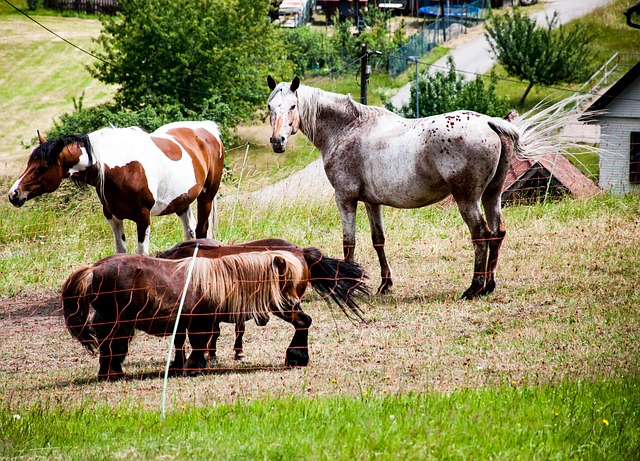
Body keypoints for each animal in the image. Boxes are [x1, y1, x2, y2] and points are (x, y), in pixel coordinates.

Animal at [8, 120, 225, 253]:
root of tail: (207, 129)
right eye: (29, 163)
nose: (14, 194)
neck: (121, 168)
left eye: (42, 168)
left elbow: (141, 251)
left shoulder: (143, 216)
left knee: (201, 231)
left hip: (206, 197)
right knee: (190, 233)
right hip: (182, 202)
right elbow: (121, 250)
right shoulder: (112, 216)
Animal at [64, 250, 312, 380]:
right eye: (285, 284)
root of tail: (93, 270)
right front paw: (194, 367)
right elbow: (199, 344)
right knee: (112, 345)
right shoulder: (200, 323)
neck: (221, 281)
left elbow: (188, 344)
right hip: (117, 322)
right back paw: (112, 373)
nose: (294, 304)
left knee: (109, 346)